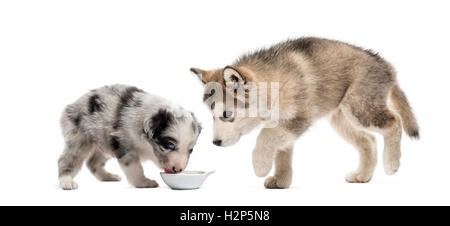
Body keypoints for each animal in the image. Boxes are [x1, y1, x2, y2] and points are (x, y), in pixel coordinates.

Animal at [57, 84, 200, 189]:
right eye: (169, 145)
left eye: (191, 150)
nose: (178, 169)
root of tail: (71, 106)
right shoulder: (125, 146)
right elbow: (135, 168)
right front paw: (144, 182)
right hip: (79, 139)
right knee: (66, 160)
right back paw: (66, 181)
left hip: (103, 143)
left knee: (93, 163)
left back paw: (108, 177)